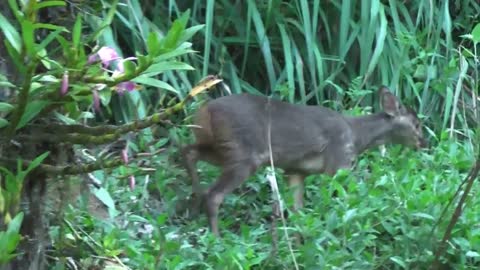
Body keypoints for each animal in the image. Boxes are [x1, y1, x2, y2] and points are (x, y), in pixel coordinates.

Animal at [182, 86, 426, 236]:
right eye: (416, 124)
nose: (424, 142)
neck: (357, 137)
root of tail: (204, 111)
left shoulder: (295, 170)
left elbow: (298, 212)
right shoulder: (339, 163)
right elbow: (347, 200)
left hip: (218, 147)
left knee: (188, 152)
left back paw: (193, 205)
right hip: (243, 154)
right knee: (214, 195)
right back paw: (215, 236)